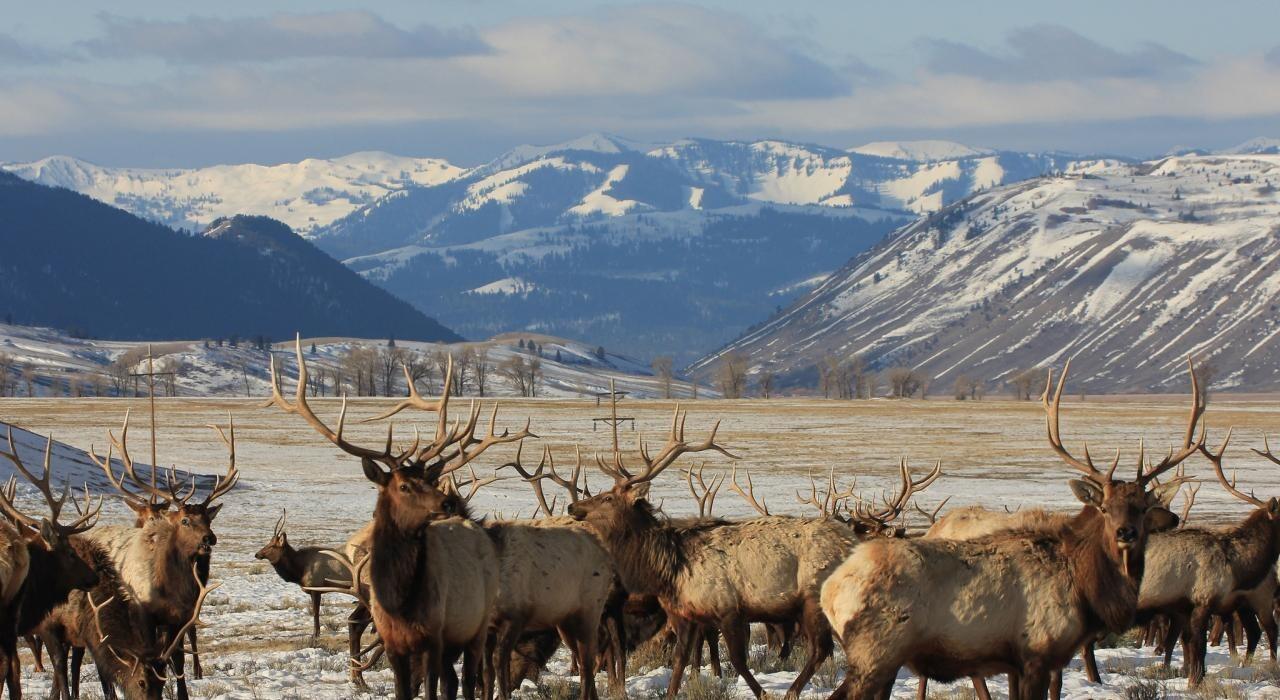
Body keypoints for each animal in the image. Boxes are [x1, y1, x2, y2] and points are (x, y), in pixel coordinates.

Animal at [567, 412, 881, 700]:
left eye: (607, 498)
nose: (572, 507)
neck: (668, 571)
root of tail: (854, 541)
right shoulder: (685, 613)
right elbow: (680, 660)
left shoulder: (728, 608)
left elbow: (738, 662)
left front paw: (763, 693)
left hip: (814, 598)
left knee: (823, 649)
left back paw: (795, 692)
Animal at [819, 360, 1201, 700]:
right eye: (1104, 508)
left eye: (1142, 508)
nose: (1126, 534)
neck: (1086, 588)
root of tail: (830, 590)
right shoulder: (1037, 653)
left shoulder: (1015, 665)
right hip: (876, 653)